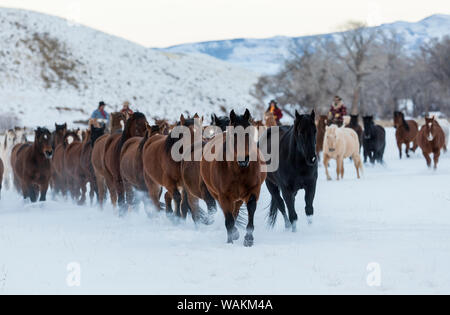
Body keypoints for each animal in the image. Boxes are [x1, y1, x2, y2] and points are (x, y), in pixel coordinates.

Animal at [201, 110, 268, 248]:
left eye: (249, 132)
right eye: (234, 134)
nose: (244, 160)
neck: (238, 170)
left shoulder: (253, 191)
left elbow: (250, 211)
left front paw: (248, 239)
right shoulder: (224, 195)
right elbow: (229, 219)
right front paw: (231, 240)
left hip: (238, 198)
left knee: (235, 212)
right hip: (218, 194)